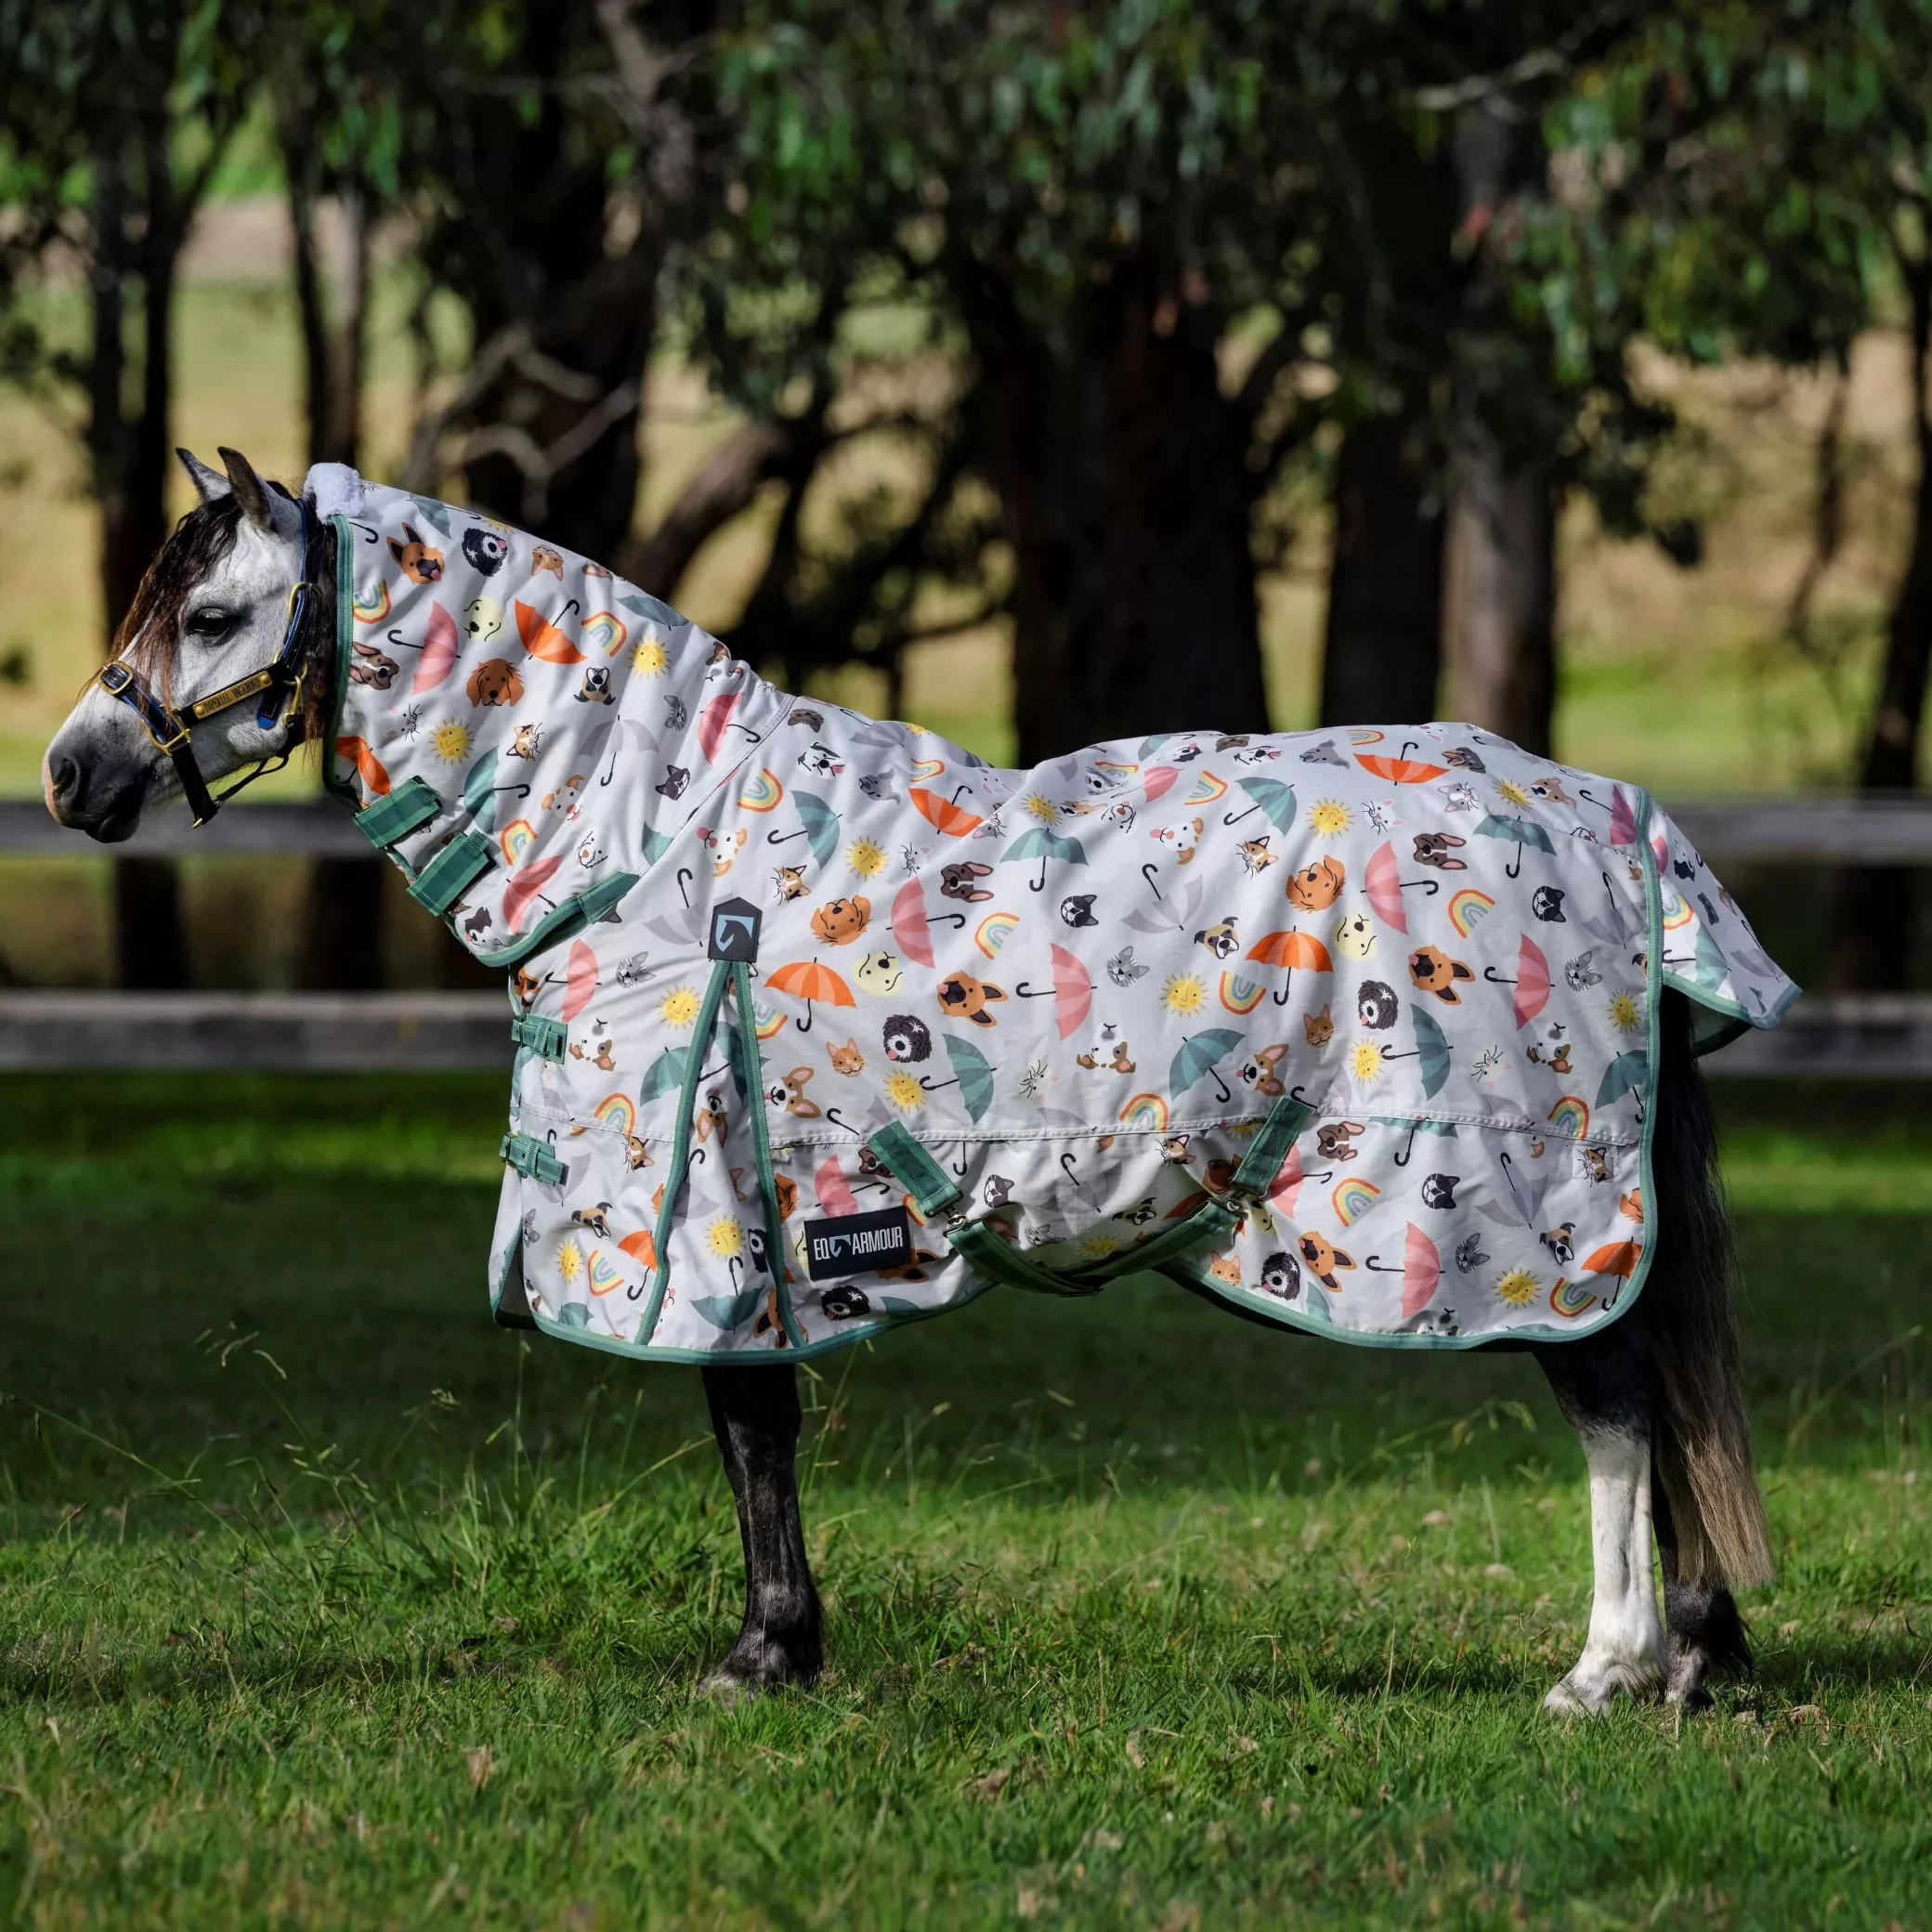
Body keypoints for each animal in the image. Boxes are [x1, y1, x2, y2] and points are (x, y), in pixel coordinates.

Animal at [43, 447, 1788, 1712]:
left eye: (213, 617)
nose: (69, 774)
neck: (654, 840)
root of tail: (1604, 817)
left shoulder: (716, 1199)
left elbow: (747, 1421)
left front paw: (764, 1654)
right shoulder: (759, 1202)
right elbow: (757, 1429)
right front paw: (783, 1646)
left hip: (1527, 1212)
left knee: (1616, 1402)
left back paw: (1607, 1669)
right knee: (1655, 1397)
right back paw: (1698, 1658)